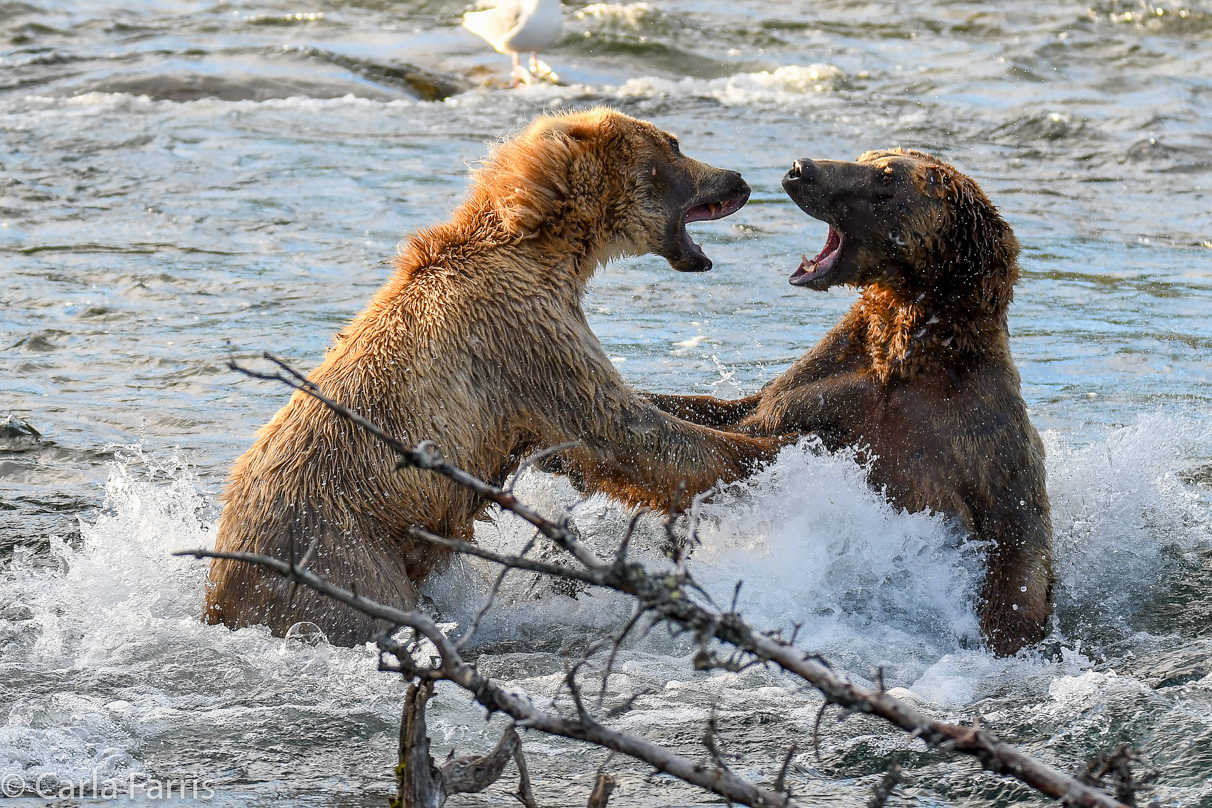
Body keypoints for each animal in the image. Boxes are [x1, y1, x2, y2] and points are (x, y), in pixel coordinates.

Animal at [204, 107, 785, 644]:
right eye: (675, 143)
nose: (738, 178)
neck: (547, 247)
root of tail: (220, 592)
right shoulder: (523, 335)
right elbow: (622, 429)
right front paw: (772, 453)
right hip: (341, 557)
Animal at [649, 150, 1056, 658]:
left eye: (885, 179)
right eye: (867, 156)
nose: (802, 168)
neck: (907, 350)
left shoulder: (982, 434)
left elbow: (1019, 543)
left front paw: (1007, 631)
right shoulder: (827, 381)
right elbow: (741, 412)